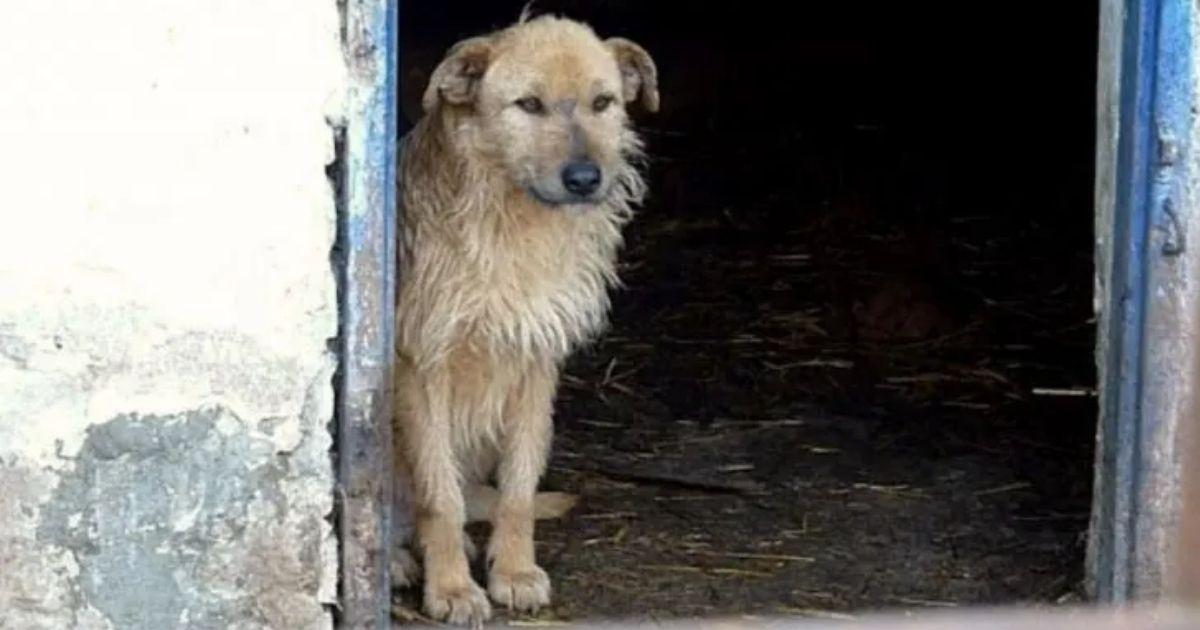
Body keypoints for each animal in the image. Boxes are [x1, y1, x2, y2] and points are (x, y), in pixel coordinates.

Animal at [391, 12, 657, 624]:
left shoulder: (536, 362)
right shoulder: (423, 366)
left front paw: (512, 571)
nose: (585, 178)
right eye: (529, 105)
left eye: (603, 102)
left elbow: (519, 486)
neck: (514, 219)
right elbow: (438, 494)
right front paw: (451, 588)